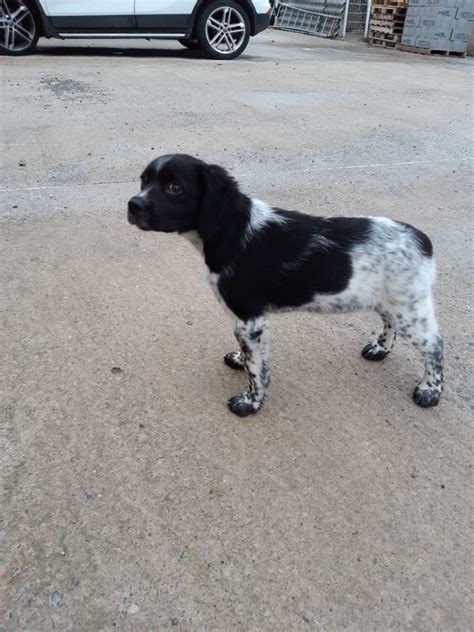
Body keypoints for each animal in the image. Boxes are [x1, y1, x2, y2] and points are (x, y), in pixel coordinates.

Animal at [127, 156, 444, 418]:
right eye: (143, 180)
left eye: (174, 188)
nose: (132, 205)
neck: (231, 229)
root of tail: (422, 240)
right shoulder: (247, 321)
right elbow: (250, 355)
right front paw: (239, 359)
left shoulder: (250, 318)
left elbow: (257, 368)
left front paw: (250, 402)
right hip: (389, 301)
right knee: (390, 323)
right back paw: (380, 349)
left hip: (408, 308)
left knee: (434, 344)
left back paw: (430, 389)